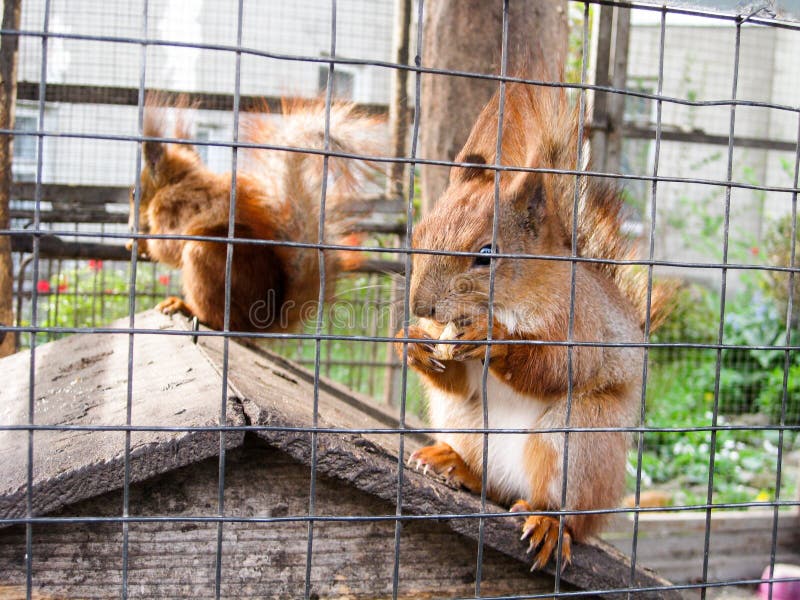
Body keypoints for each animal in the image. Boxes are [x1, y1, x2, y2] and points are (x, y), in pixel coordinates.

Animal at [129, 96, 382, 336]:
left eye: (134, 194)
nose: (131, 225)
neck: (177, 180)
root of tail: (258, 323)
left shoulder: (171, 208)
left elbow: (168, 247)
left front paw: (140, 243)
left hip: (205, 258)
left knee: (217, 317)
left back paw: (185, 307)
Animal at [396, 82, 672, 568]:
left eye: (486, 254)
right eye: (421, 233)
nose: (421, 306)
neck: (512, 299)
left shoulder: (580, 324)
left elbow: (556, 369)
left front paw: (496, 340)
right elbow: (458, 378)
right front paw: (411, 341)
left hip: (577, 440)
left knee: (567, 512)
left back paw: (549, 523)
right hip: (466, 422)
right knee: (490, 482)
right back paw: (454, 462)